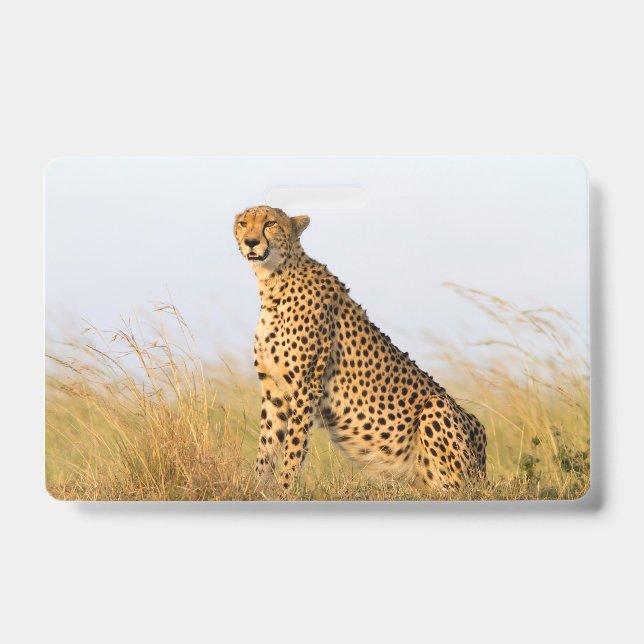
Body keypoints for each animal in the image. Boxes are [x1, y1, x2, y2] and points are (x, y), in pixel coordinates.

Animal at [234, 205, 486, 494]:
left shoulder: (306, 386)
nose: (251, 242)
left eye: (270, 223)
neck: (274, 281)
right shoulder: (273, 388)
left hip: (438, 410)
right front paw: (256, 488)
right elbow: (267, 444)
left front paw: (286, 490)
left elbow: (294, 448)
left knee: (456, 488)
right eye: (243, 224)